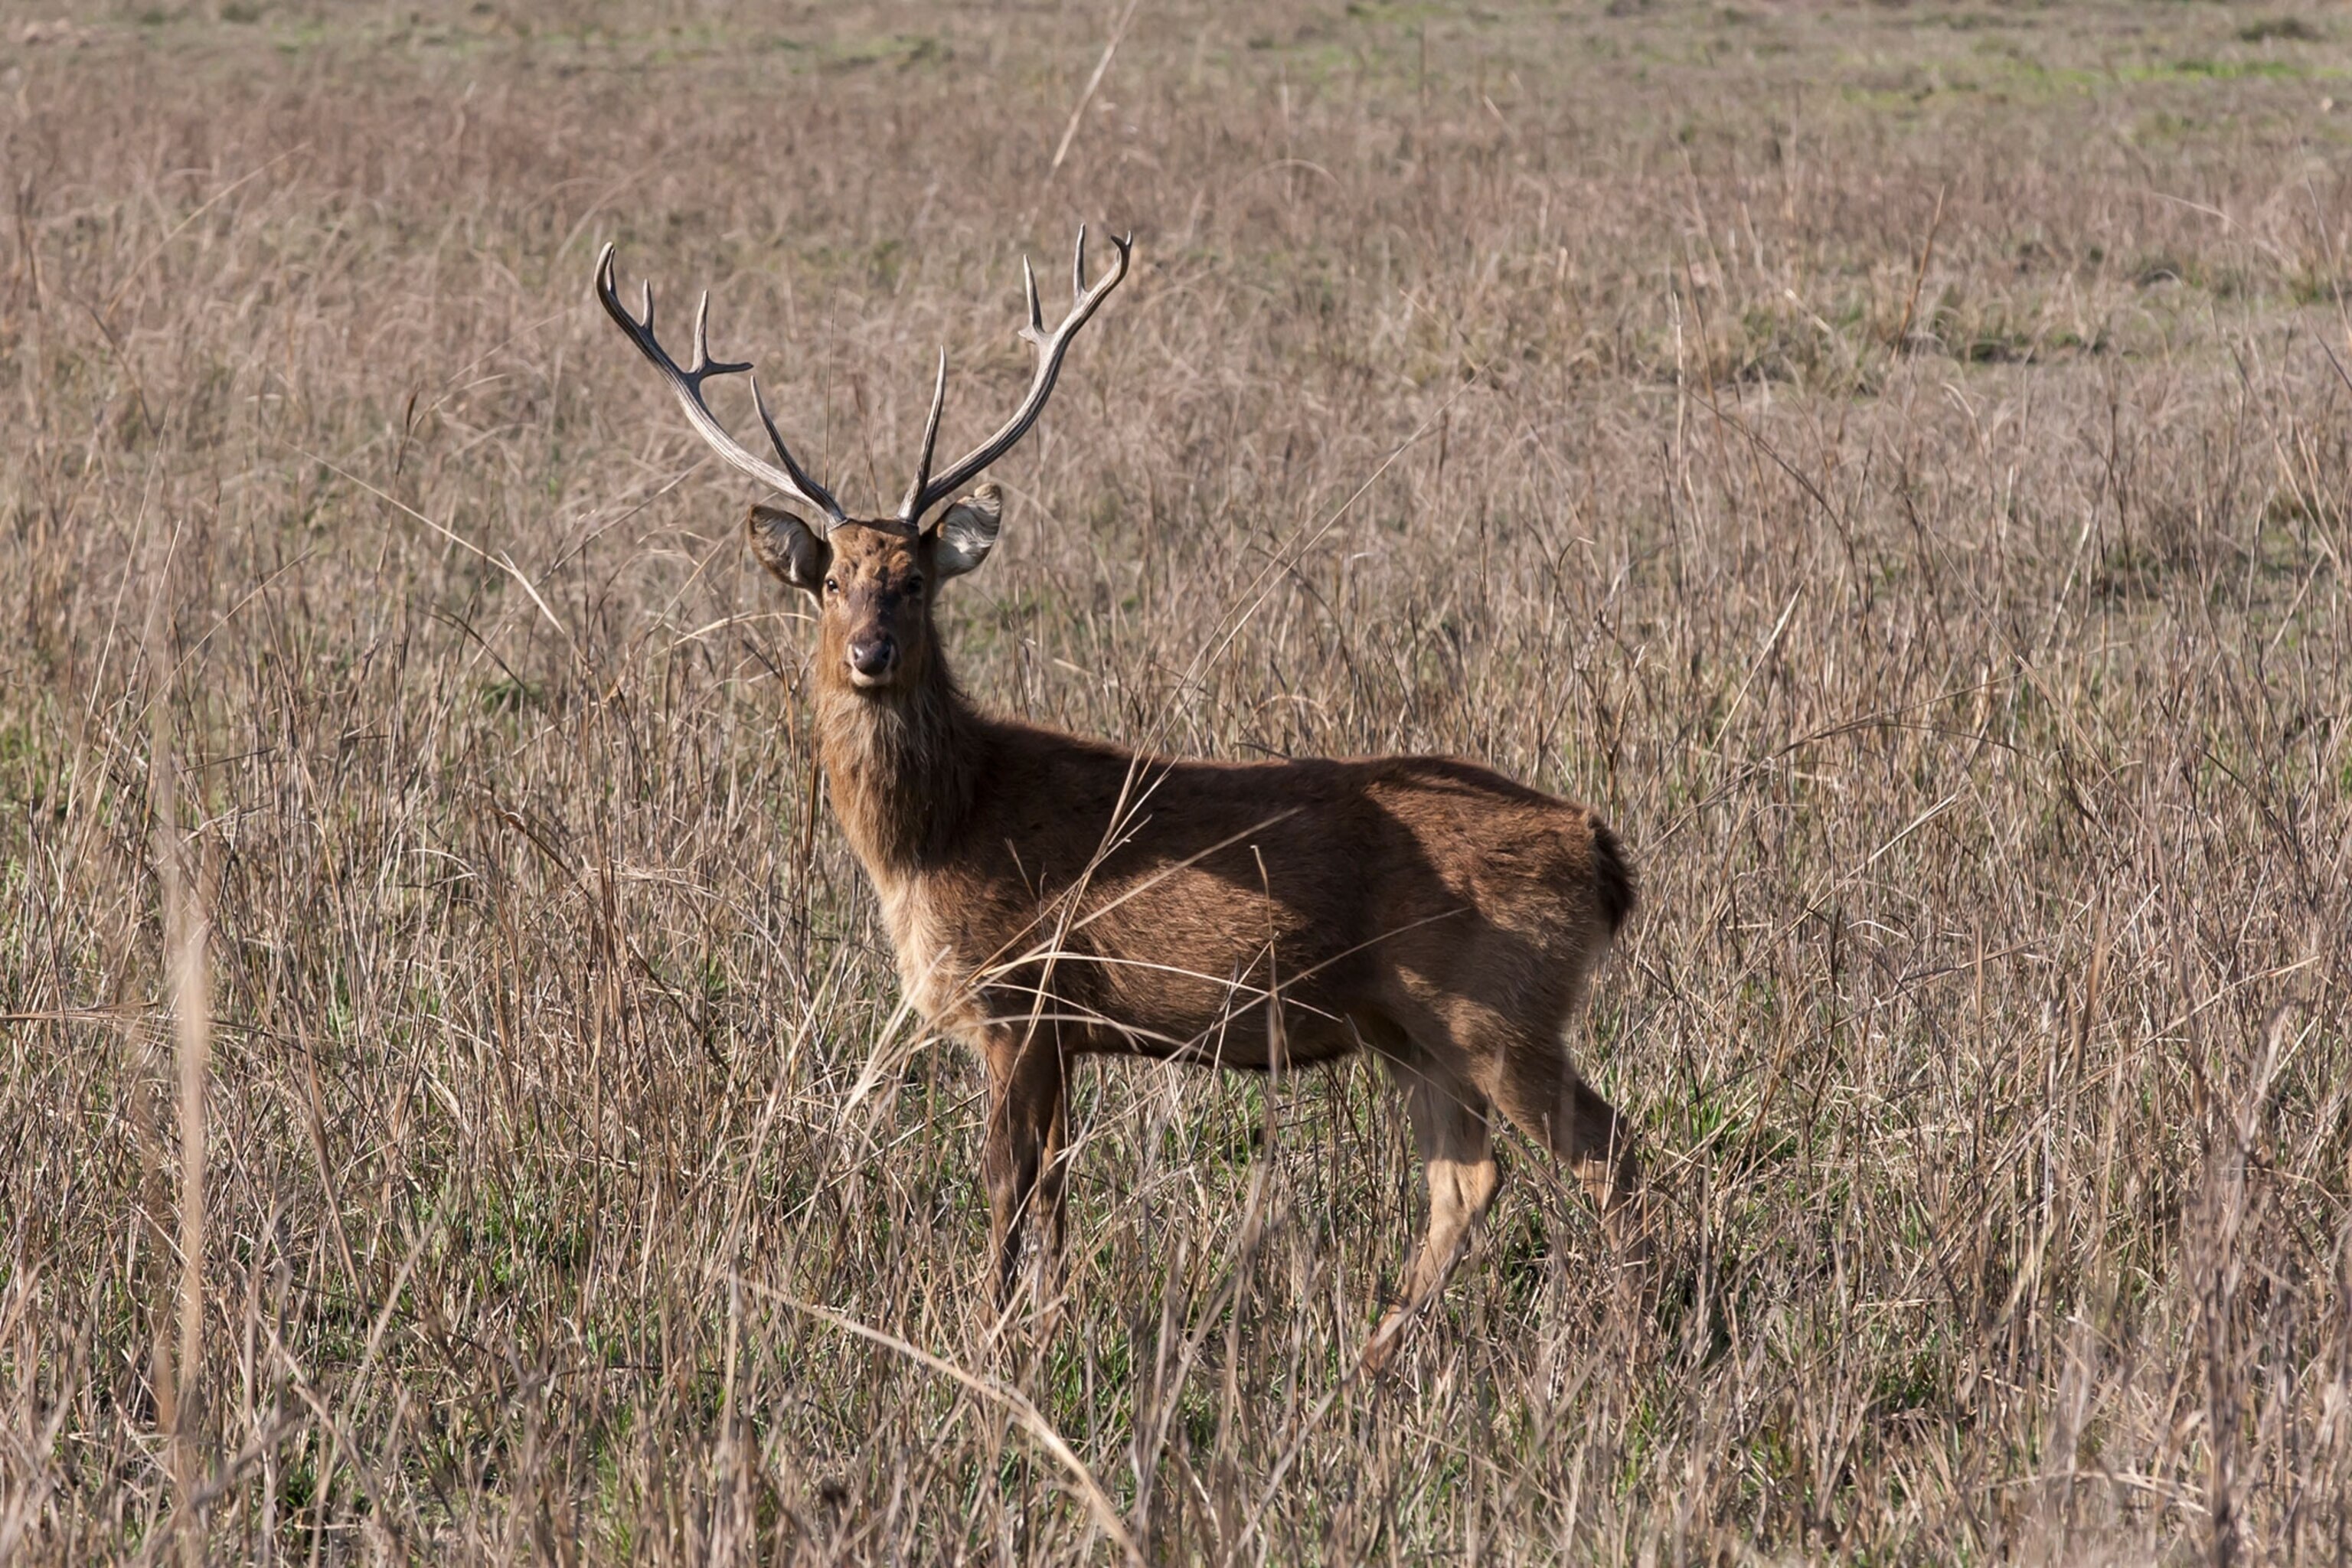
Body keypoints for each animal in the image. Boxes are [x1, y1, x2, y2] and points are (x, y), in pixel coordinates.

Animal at [594, 230, 1649, 1370]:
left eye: (916, 579)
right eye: (830, 582)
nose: (871, 653)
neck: (937, 835)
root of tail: (1600, 852)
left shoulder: (1020, 992)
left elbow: (1005, 1186)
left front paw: (985, 1342)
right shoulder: (1065, 1026)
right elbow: (1055, 1186)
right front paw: (1049, 1324)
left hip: (1498, 1004)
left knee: (1607, 1149)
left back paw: (1638, 1343)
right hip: (1416, 1026)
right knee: (1468, 1177)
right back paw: (1371, 1358)